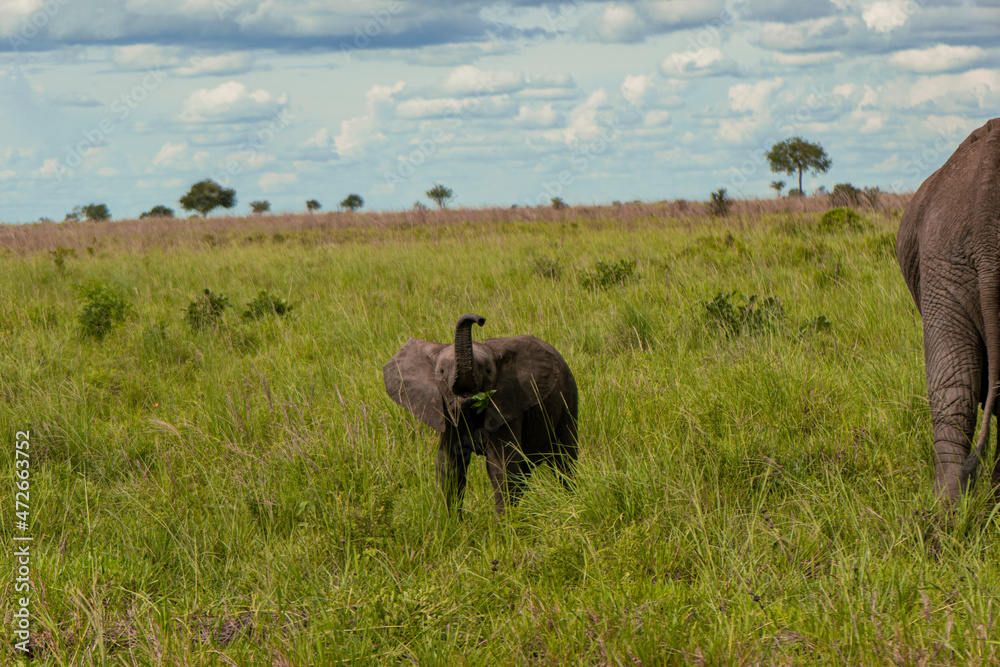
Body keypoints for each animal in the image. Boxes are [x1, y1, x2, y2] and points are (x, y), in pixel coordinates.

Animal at [383, 313, 578, 514]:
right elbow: (450, 464)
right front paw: (447, 522)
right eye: (442, 372)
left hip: (568, 396)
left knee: (564, 459)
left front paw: (505, 522)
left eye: (488, 371)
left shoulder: (507, 406)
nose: (480, 320)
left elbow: (501, 466)